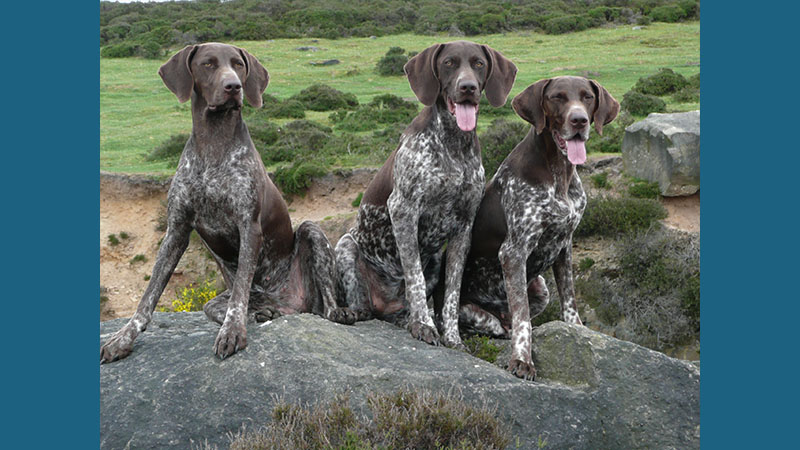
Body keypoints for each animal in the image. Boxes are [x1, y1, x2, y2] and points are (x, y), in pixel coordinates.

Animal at [99, 43, 354, 366]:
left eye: (238, 64)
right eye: (208, 64)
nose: (233, 86)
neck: (214, 146)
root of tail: (286, 302)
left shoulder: (249, 227)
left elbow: (238, 296)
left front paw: (232, 332)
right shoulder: (176, 231)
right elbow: (149, 296)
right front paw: (123, 337)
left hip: (311, 233)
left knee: (326, 305)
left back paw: (333, 311)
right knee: (216, 306)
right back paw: (262, 312)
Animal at [332, 40, 516, 346]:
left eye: (478, 63)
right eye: (449, 63)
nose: (468, 87)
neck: (453, 144)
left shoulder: (463, 228)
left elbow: (452, 293)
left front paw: (452, 337)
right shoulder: (404, 211)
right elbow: (414, 278)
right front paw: (423, 325)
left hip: (436, 260)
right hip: (346, 246)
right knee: (365, 306)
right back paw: (356, 313)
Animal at [444, 77, 624, 380]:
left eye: (587, 97)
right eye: (557, 97)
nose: (579, 120)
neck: (559, 174)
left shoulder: (564, 245)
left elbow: (570, 300)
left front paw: (577, 331)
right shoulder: (513, 252)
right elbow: (523, 318)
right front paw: (522, 360)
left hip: (540, 287)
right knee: (498, 324)